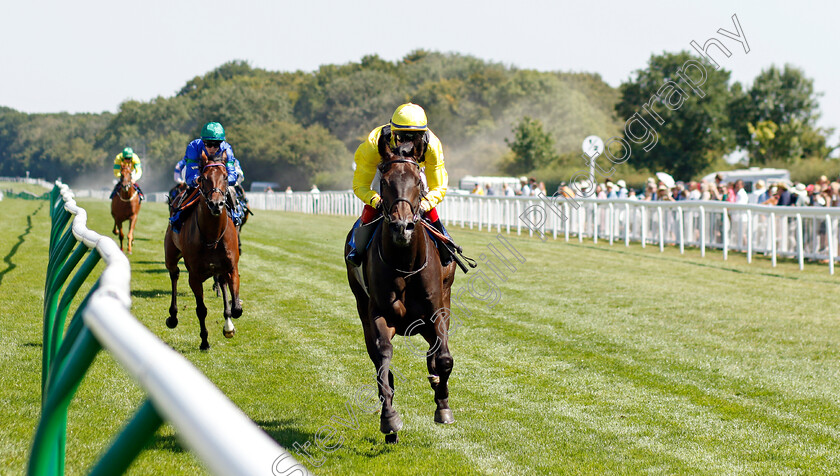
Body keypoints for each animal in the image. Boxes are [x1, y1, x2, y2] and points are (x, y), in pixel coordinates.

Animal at [164, 151, 243, 352]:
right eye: (204, 178)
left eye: (225, 176)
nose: (217, 204)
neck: (211, 235)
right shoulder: (194, 275)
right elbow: (201, 310)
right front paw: (204, 342)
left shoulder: (231, 267)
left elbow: (236, 308)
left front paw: (229, 324)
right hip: (171, 255)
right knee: (174, 274)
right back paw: (173, 317)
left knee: (222, 284)